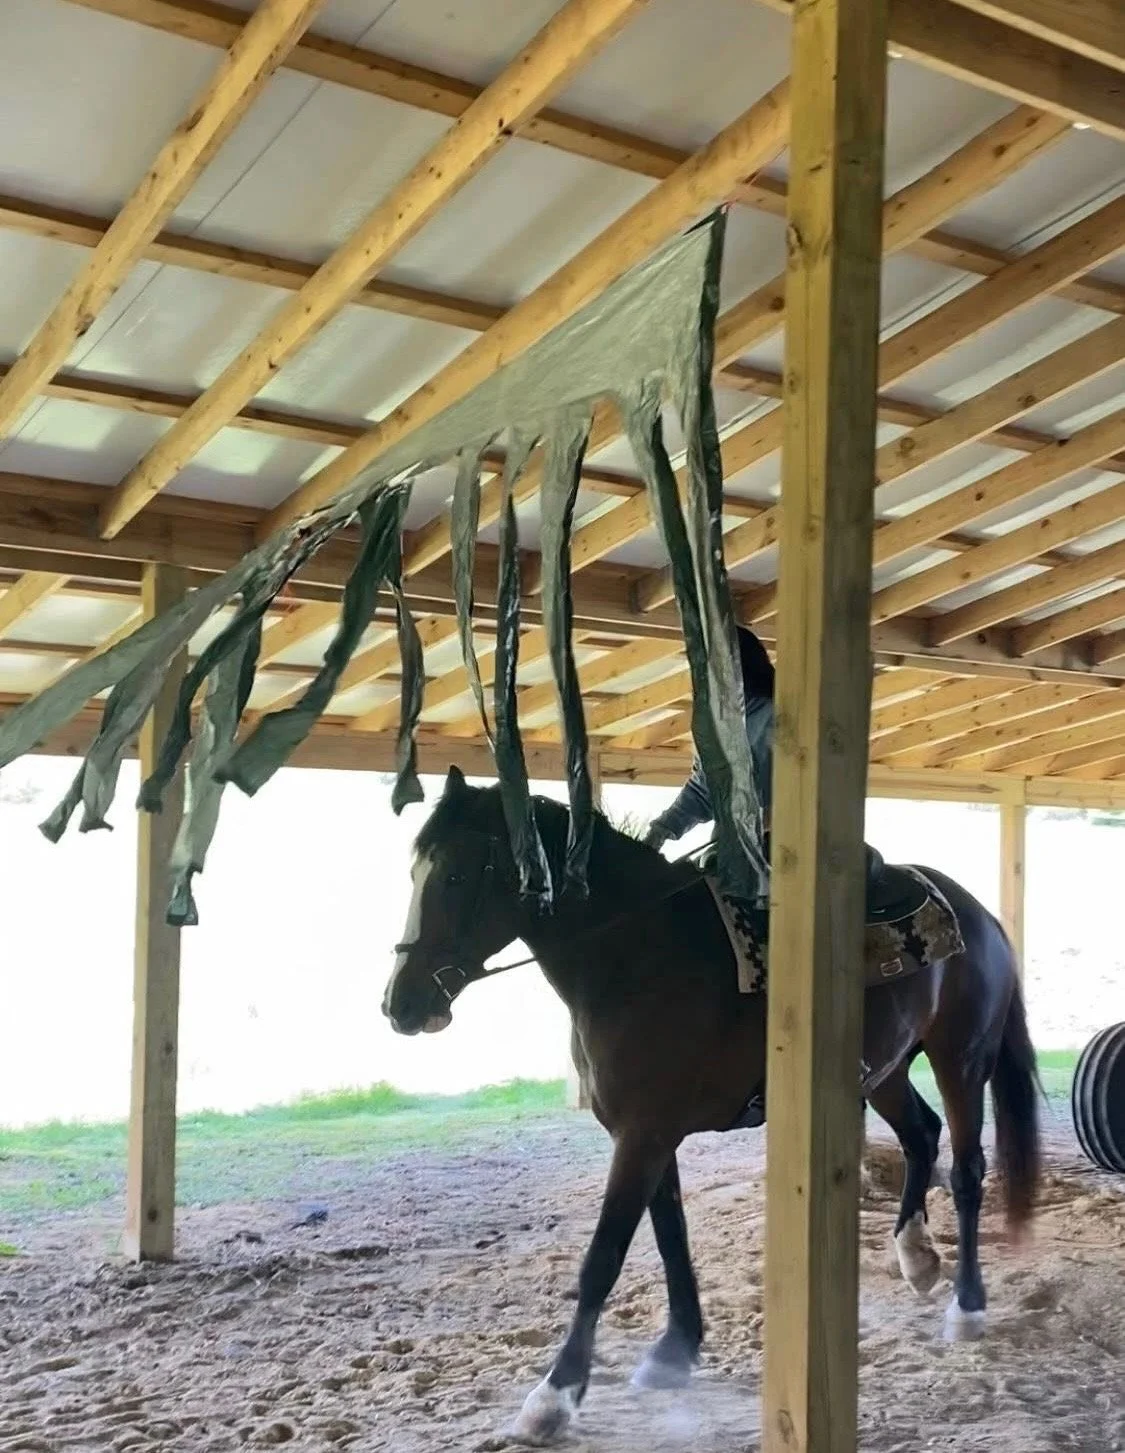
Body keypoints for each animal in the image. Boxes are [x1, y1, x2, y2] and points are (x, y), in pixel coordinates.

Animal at [384, 767, 1041, 1444]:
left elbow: (604, 1257)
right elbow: (671, 1236)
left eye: (456, 876)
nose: (401, 1005)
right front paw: (675, 1349)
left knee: (966, 1169)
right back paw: (916, 1258)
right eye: (415, 873)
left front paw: (554, 1397)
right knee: (921, 1134)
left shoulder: (644, 1134)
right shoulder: (648, 1134)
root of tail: (980, 916)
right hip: (883, 1072)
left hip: (961, 1058)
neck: (639, 959)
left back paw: (967, 1306)